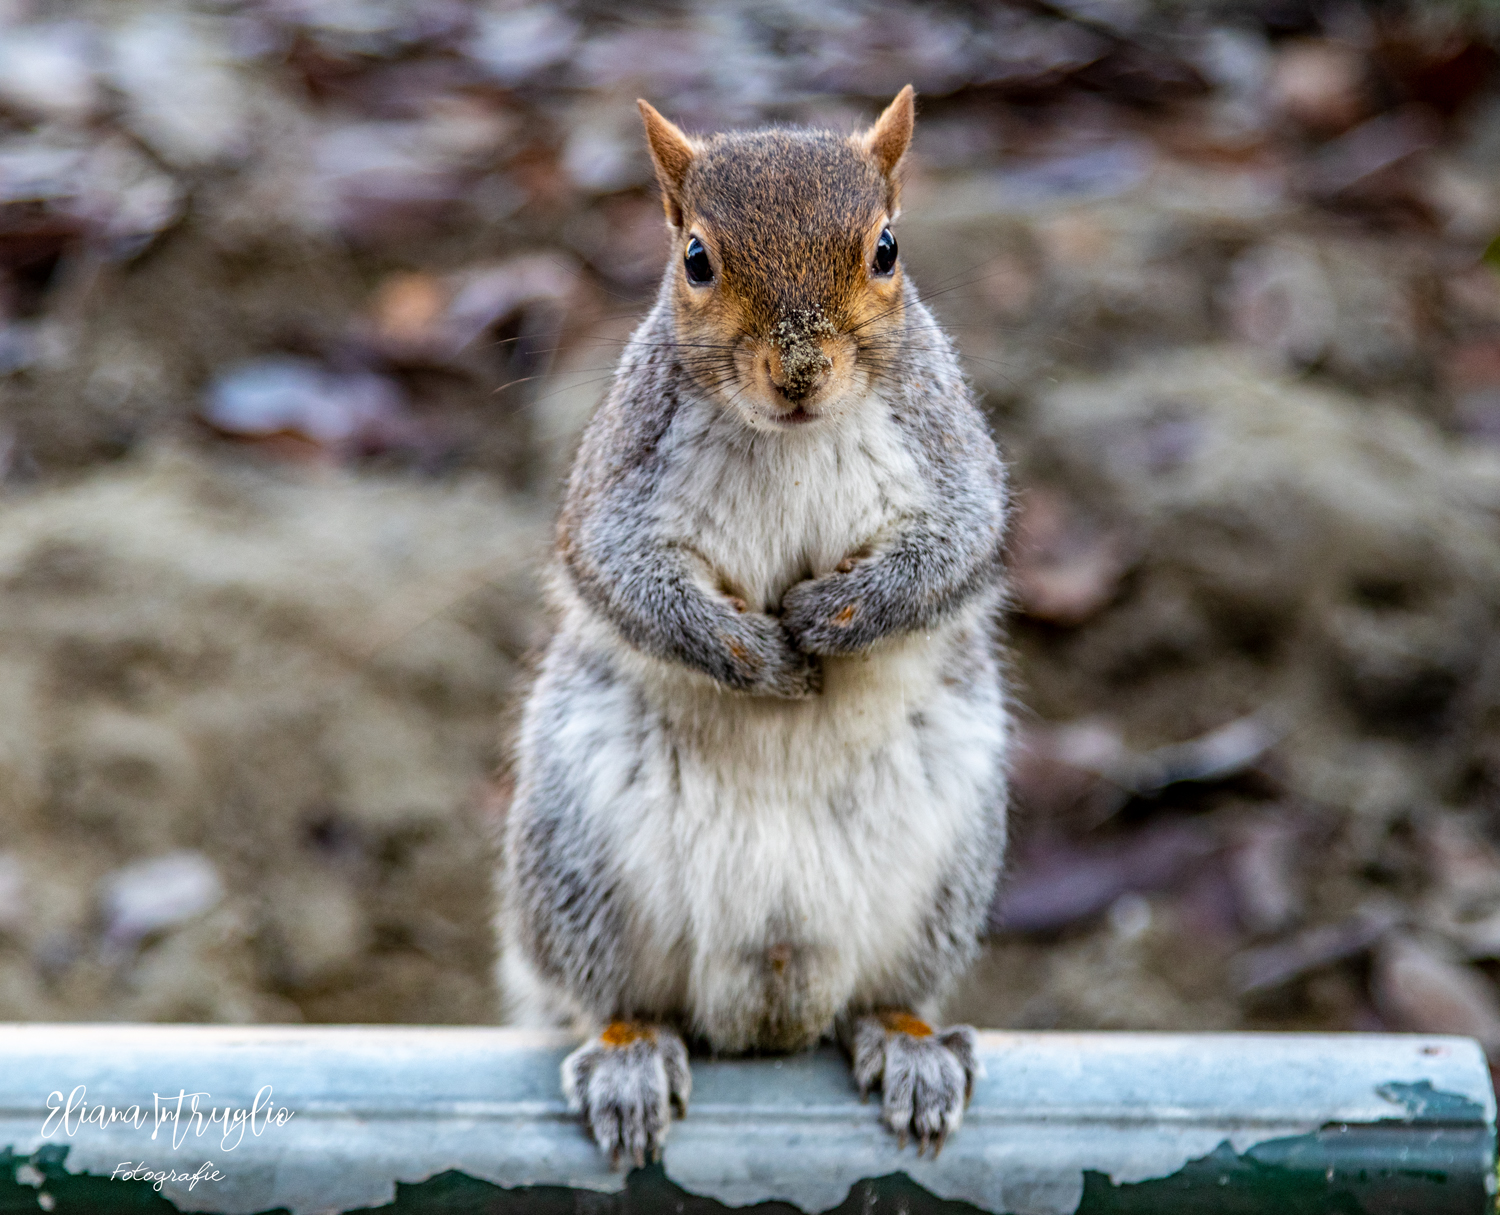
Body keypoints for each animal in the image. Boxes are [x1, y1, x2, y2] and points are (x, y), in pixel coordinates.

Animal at [499, 85, 1010, 1166]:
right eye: (696, 258)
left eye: (888, 249)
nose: (800, 373)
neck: (795, 438)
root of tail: (769, 998)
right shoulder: (619, 480)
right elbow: (626, 577)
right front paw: (758, 658)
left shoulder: (949, 454)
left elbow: (954, 548)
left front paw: (835, 617)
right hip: (578, 860)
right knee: (611, 994)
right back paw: (628, 1055)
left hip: (943, 877)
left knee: (881, 995)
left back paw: (907, 1042)